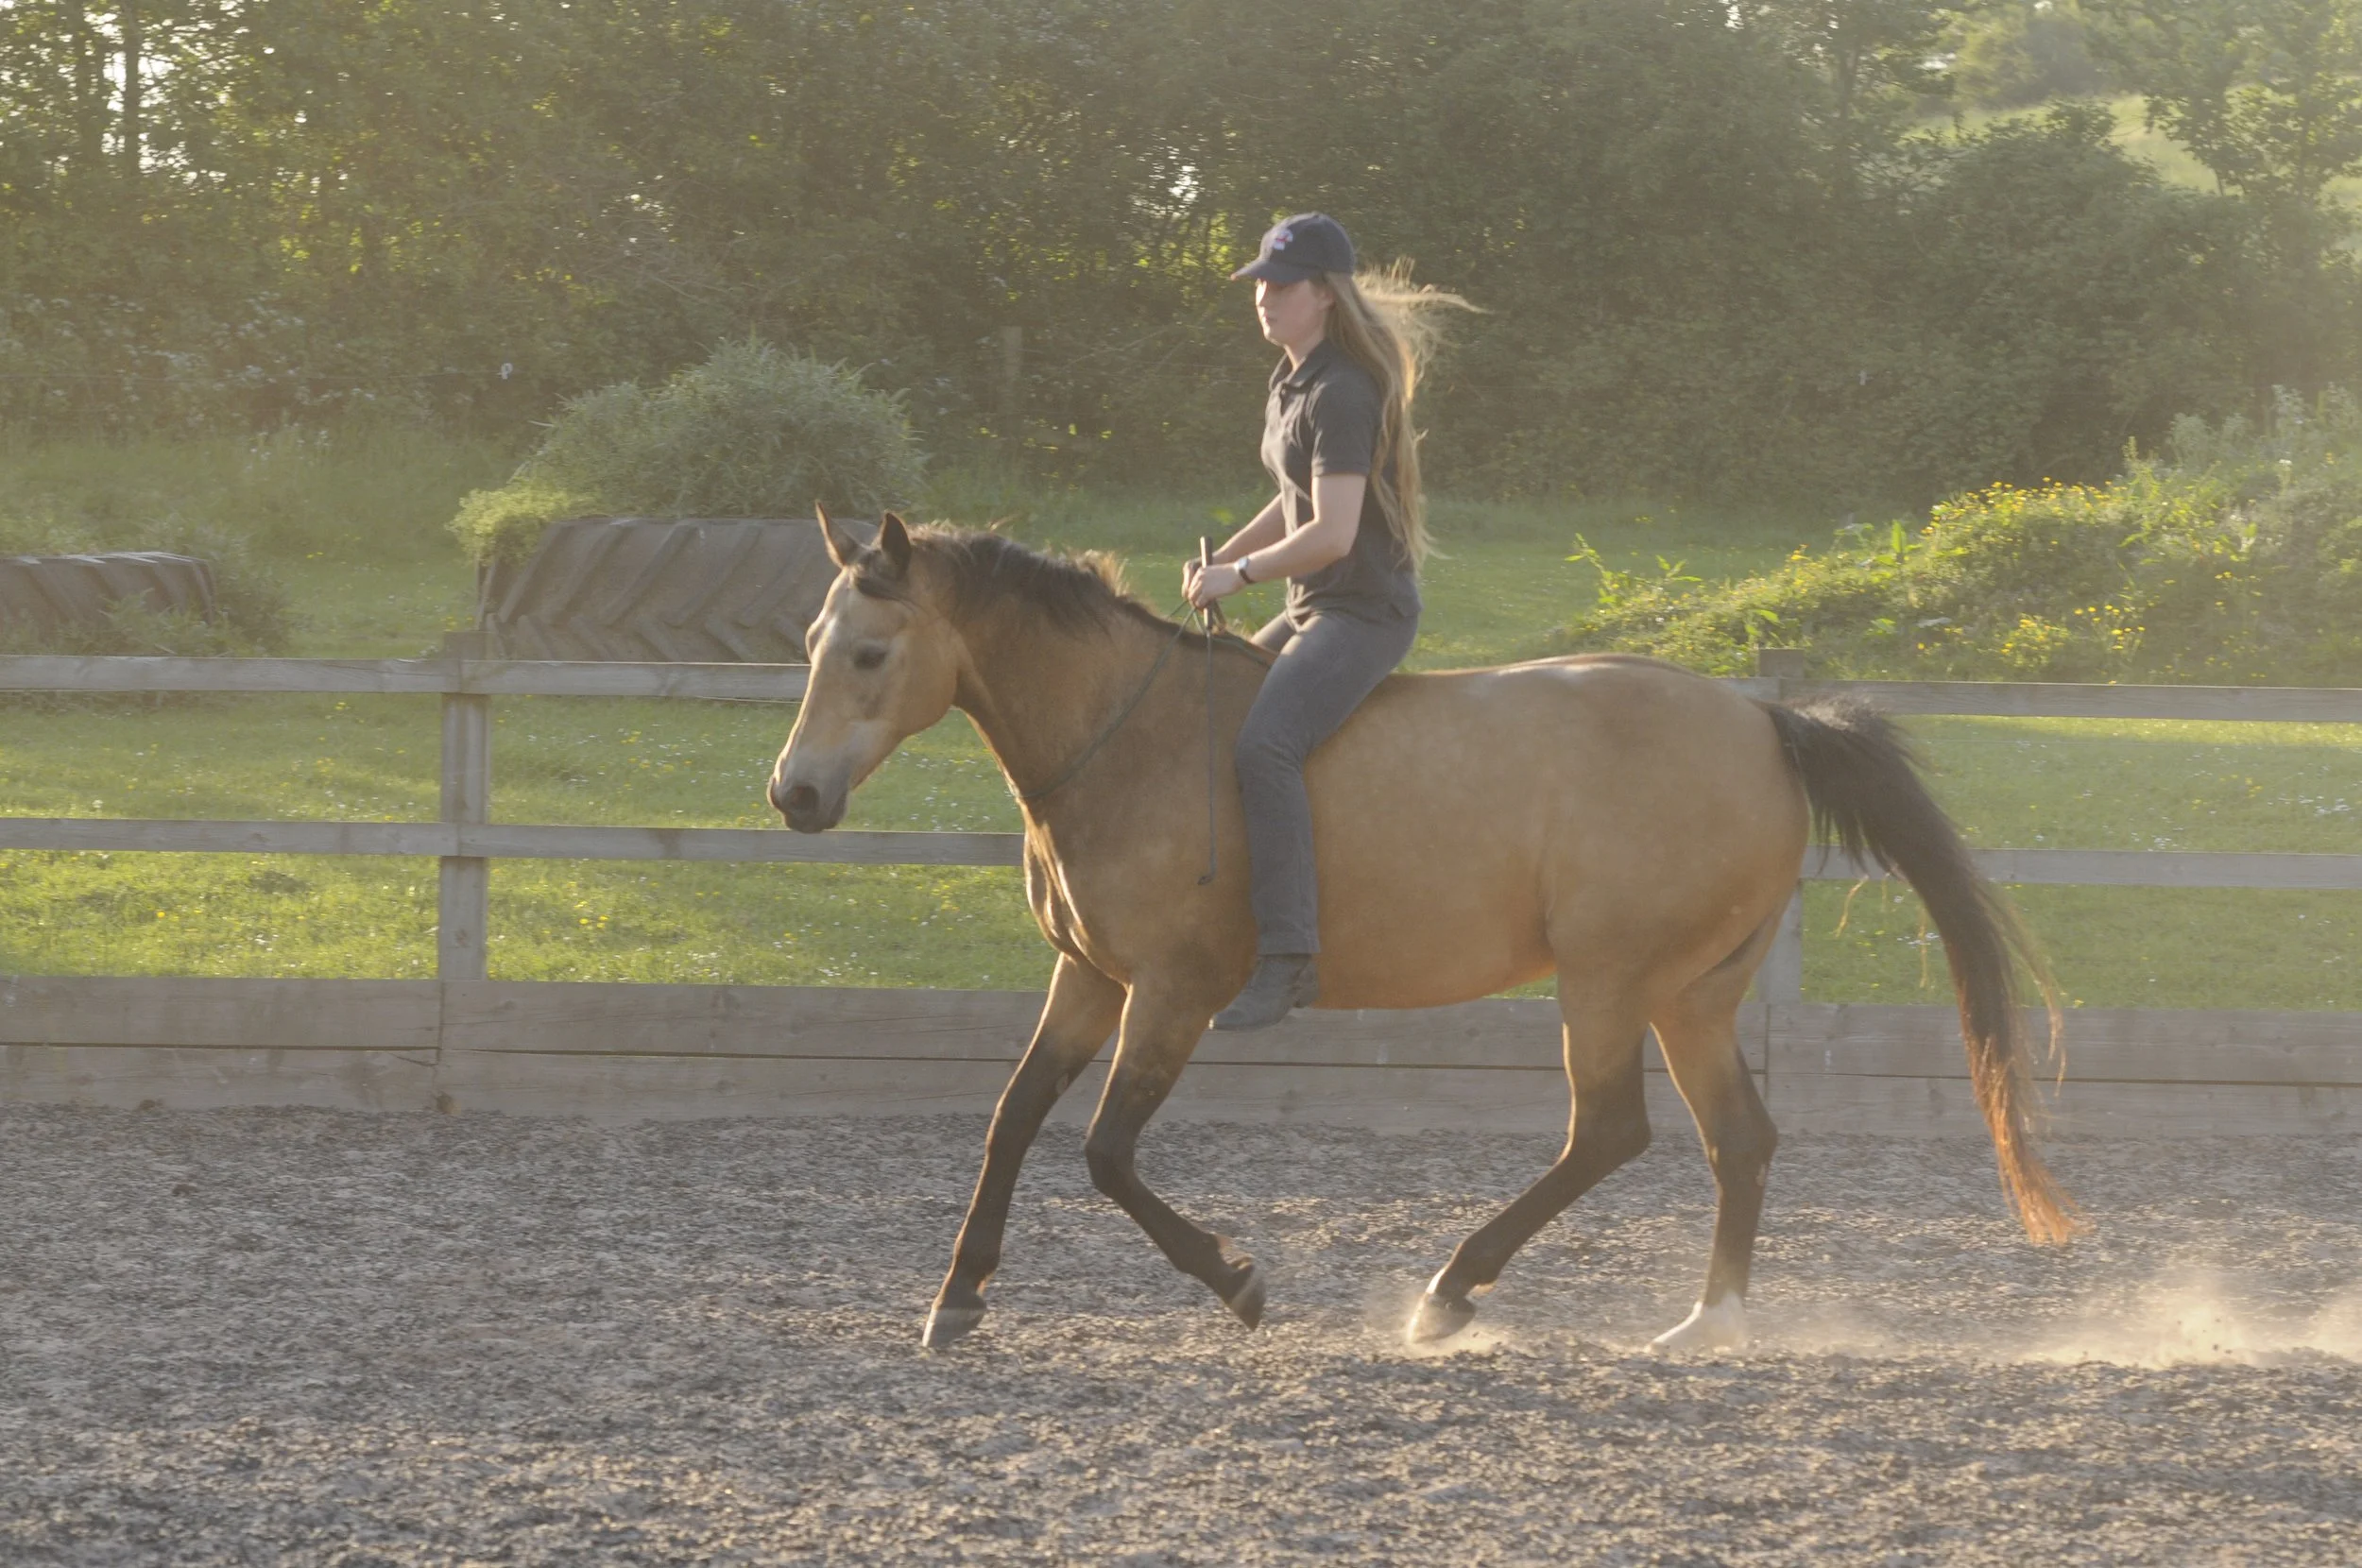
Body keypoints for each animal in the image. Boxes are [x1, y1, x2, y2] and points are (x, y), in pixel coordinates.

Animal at [768, 509, 2077, 1352]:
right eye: (812, 646)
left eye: (872, 651)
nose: (794, 795)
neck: (1125, 739)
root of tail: (1765, 720)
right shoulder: (1088, 979)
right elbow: (1012, 1118)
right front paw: (956, 1299)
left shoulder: (1175, 991)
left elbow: (1103, 1152)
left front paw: (1238, 1281)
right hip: (1689, 994)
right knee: (1738, 1140)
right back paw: (1707, 1321)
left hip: (1607, 980)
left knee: (1609, 1131)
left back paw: (1450, 1292)